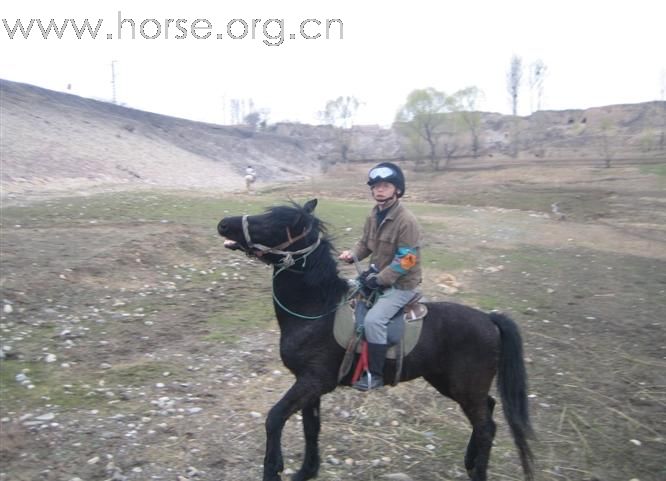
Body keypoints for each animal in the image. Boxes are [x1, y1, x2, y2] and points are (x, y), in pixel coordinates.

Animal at [218, 197, 536, 478]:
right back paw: (470, 461)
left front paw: (273, 469)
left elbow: (274, 419)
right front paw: (307, 471)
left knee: (486, 427)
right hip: (450, 383)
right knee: (489, 411)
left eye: (271, 223)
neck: (318, 310)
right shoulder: (309, 385)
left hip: (464, 388)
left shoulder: (313, 382)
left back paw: (477, 470)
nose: (223, 224)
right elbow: (311, 428)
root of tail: (489, 318)